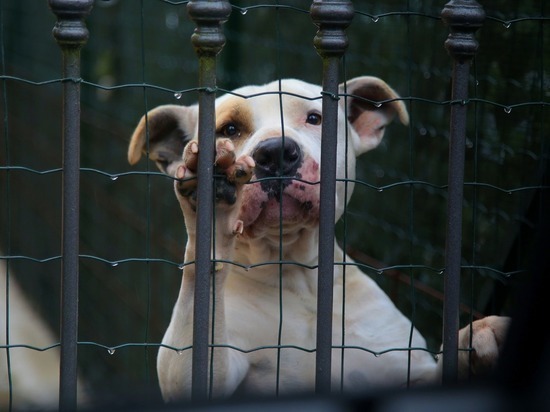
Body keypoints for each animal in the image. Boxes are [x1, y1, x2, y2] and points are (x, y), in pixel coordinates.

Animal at [127, 75, 512, 400]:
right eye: (229, 129)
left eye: (314, 118)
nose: (274, 152)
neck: (298, 277)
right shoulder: (203, 367)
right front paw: (212, 201)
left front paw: (476, 339)